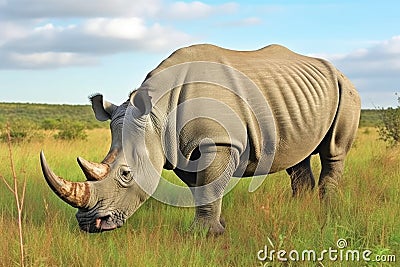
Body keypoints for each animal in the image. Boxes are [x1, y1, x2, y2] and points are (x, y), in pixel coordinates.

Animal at [39, 45, 360, 236]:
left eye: (126, 174)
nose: (89, 225)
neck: (158, 114)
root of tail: (337, 70)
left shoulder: (218, 141)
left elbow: (209, 186)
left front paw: (203, 235)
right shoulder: (177, 147)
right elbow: (202, 188)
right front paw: (215, 228)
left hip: (346, 88)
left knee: (333, 151)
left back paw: (327, 209)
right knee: (298, 157)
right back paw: (300, 211)